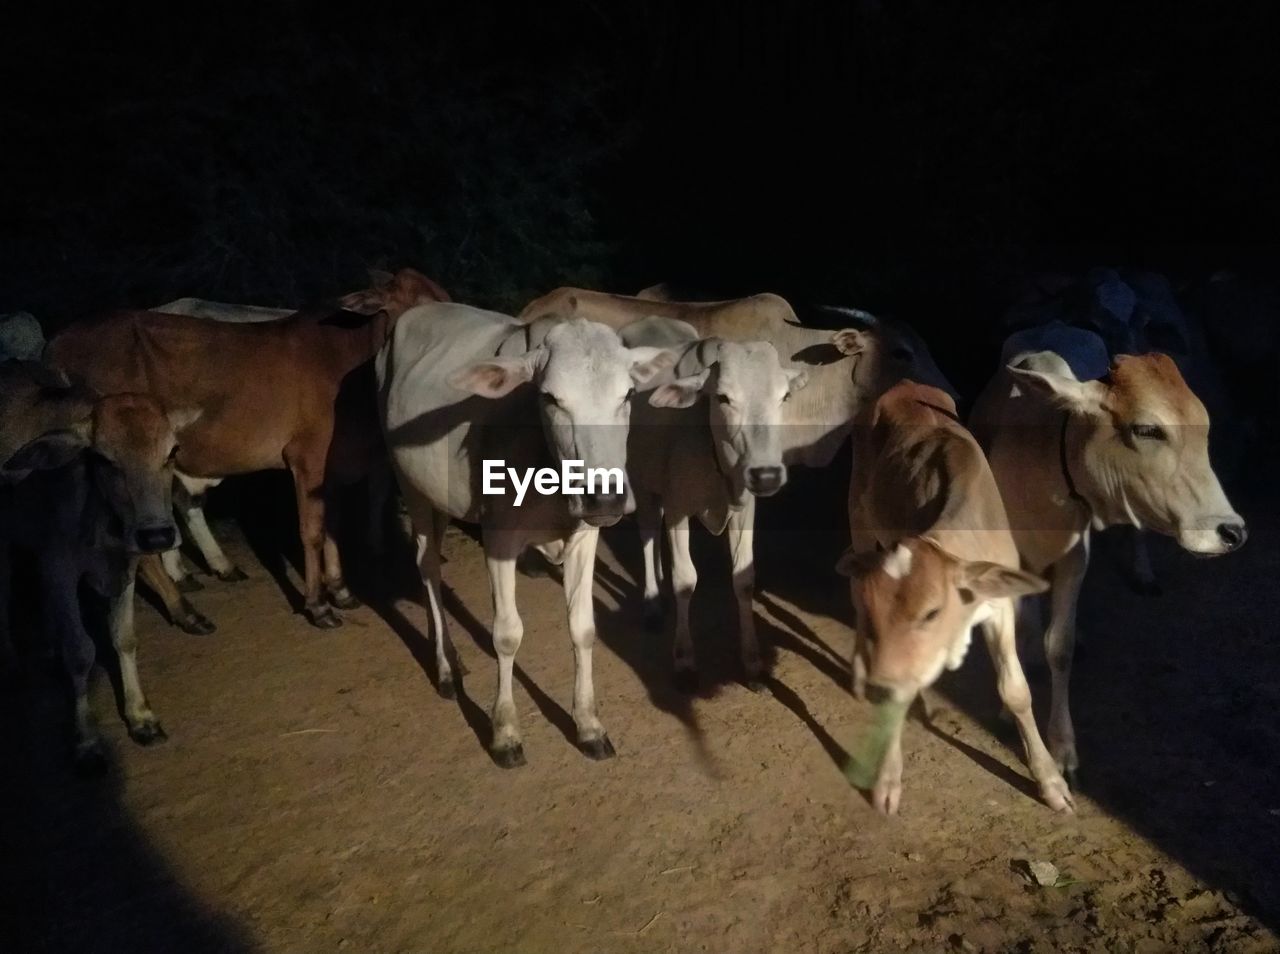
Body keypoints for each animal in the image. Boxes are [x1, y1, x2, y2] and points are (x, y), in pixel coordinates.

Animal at [376, 304, 675, 768]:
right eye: (551, 398)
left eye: (627, 395)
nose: (605, 495)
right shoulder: (498, 539)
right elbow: (507, 634)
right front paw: (505, 731)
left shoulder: (585, 536)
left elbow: (583, 628)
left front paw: (588, 724)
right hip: (409, 482)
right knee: (427, 567)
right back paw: (444, 668)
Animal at [619, 317, 808, 686]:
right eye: (723, 397)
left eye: (784, 396)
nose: (767, 475)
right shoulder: (678, 508)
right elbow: (685, 579)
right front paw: (684, 659)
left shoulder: (745, 510)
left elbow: (743, 579)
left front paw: (752, 661)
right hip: (643, 480)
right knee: (648, 532)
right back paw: (652, 602)